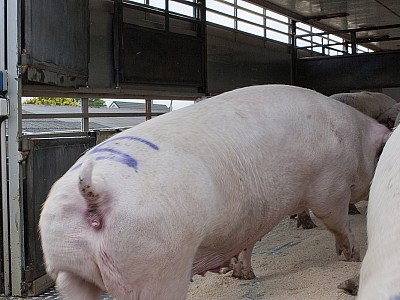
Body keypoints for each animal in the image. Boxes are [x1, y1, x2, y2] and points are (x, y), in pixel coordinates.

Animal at [39, 83, 390, 298]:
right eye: (377, 156)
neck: (353, 136)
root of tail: (93, 191)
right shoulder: (330, 186)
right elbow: (336, 220)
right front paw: (351, 255)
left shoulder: (251, 217)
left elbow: (248, 242)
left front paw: (242, 275)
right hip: (156, 266)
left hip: (66, 267)